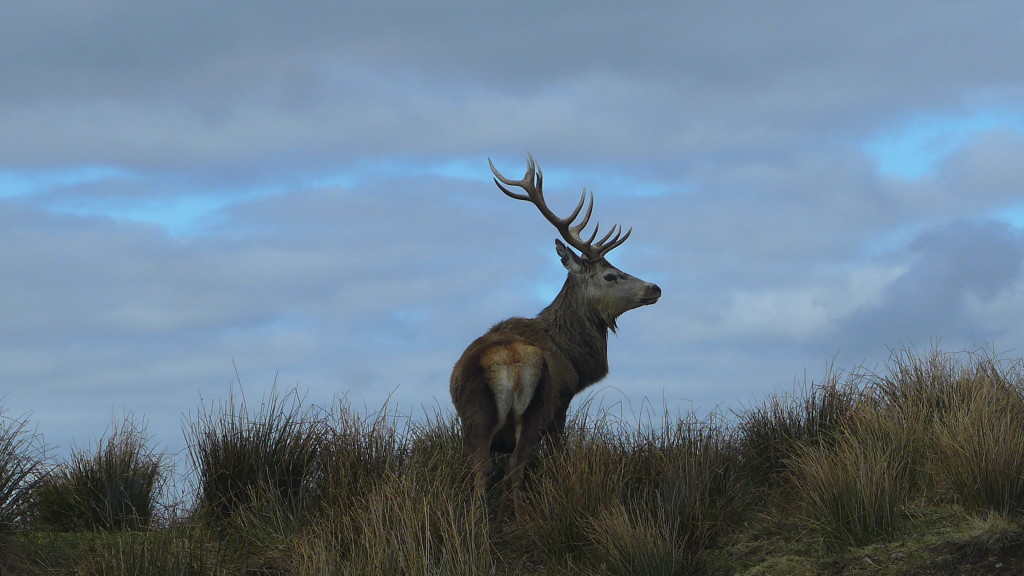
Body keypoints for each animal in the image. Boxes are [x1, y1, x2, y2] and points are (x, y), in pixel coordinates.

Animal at [449, 155, 662, 497]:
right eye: (610, 275)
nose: (655, 287)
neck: (575, 359)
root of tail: (512, 363)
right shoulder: (561, 402)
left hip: (483, 419)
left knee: (487, 468)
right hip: (523, 411)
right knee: (508, 465)